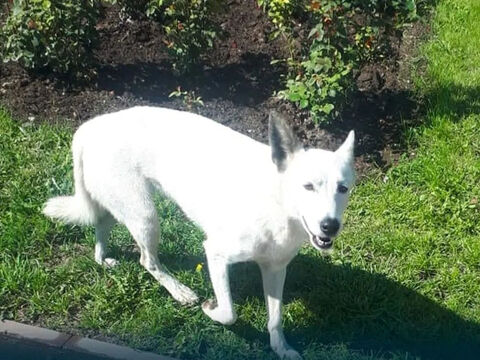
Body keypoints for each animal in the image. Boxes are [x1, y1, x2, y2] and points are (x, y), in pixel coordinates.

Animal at [43, 106, 354, 358]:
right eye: (308, 186)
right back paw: (179, 291)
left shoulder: (276, 269)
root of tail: (91, 126)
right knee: (147, 261)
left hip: (122, 205)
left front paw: (281, 349)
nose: (330, 226)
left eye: (343, 189)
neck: (278, 208)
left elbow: (275, 318)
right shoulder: (215, 254)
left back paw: (102, 257)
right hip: (146, 216)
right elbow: (229, 313)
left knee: (101, 224)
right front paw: (210, 308)